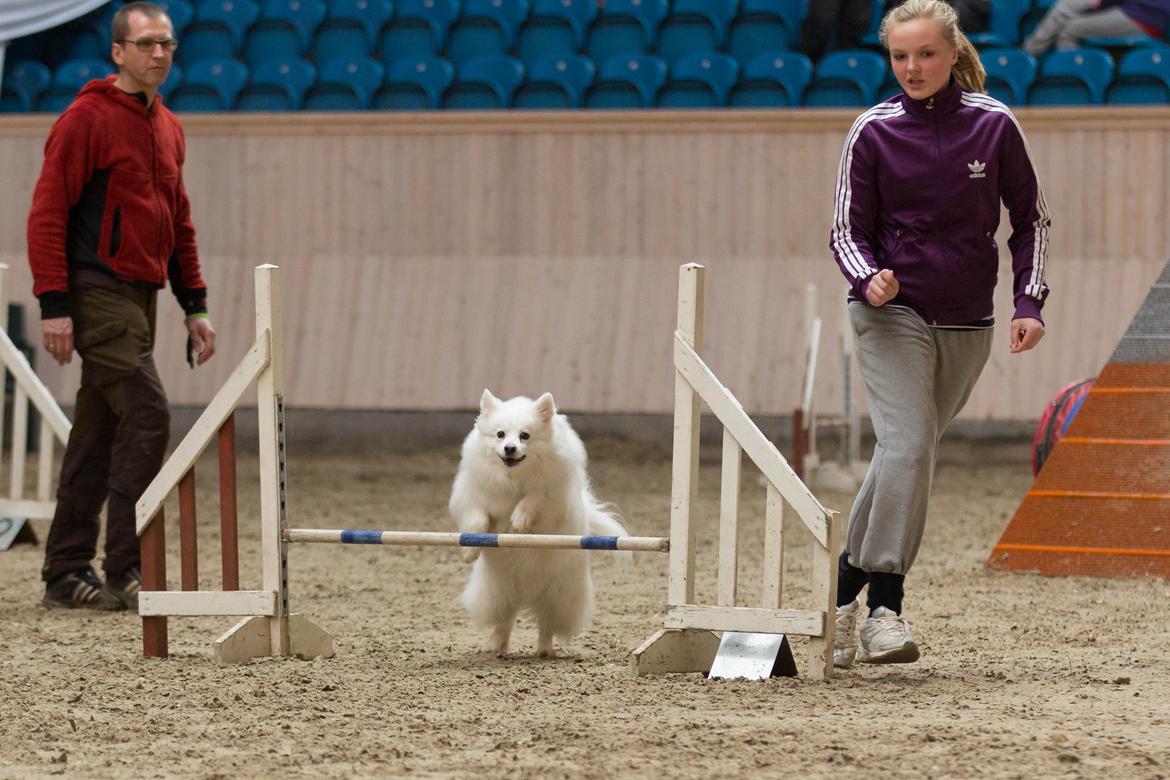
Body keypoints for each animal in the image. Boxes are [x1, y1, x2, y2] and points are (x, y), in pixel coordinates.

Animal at [449, 390, 631, 659]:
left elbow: (534, 496)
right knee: (504, 623)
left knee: (546, 625)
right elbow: (479, 520)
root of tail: (525, 592)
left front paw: (519, 520)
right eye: (500, 434)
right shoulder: (473, 498)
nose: (510, 448)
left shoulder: (551, 496)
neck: (514, 478)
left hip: (557, 596)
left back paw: (544, 651)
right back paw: (494, 647)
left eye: (525, 435)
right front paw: (470, 551)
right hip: (497, 593)